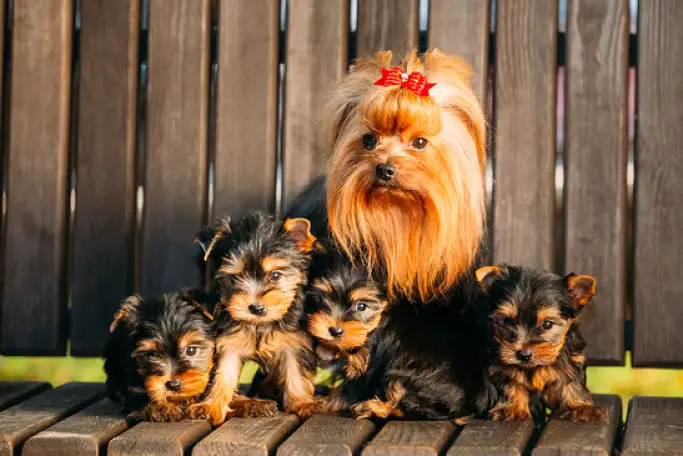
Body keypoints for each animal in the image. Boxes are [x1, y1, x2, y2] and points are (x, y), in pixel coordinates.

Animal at [188, 212, 324, 426]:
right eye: (235, 278)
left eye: (275, 275)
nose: (256, 308)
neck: (259, 325)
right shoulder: (228, 343)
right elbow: (223, 374)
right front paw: (211, 405)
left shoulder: (294, 341)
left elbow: (295, 370)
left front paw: (302, 402)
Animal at [478, 264, 608, 424]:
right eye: (508, 321)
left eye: (547, 324)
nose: (523, 354)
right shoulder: (499, 363)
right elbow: (510, 382)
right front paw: (511, 407)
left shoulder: (572, 356)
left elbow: (573, 380)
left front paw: (580, 406)